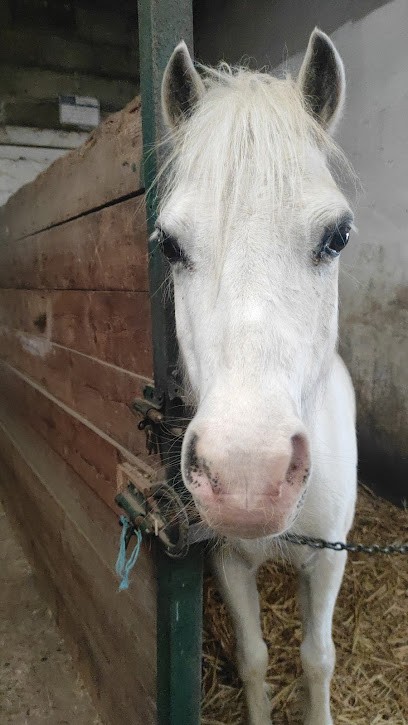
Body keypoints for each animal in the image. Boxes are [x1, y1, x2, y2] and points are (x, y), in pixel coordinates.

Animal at [156, 28, 357, 725]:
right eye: (169, 244)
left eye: (338, 235)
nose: (247, 476)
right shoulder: (229, 562)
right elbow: (254, 659)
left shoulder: (328, 561)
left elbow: (318, 659)